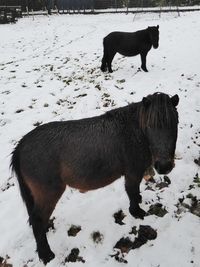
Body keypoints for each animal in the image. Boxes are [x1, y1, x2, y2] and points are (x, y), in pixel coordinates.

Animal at [10, 93, 180, 264]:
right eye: (150, 125)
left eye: (174, 123)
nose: (164, 166)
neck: (134, 132)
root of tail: (20, 147)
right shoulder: (132, 172)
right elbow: (131, 192)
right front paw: (136, 212)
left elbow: (135, 192)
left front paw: (138, 200)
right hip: (49, 192)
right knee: (37, 219)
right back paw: (46, 254)